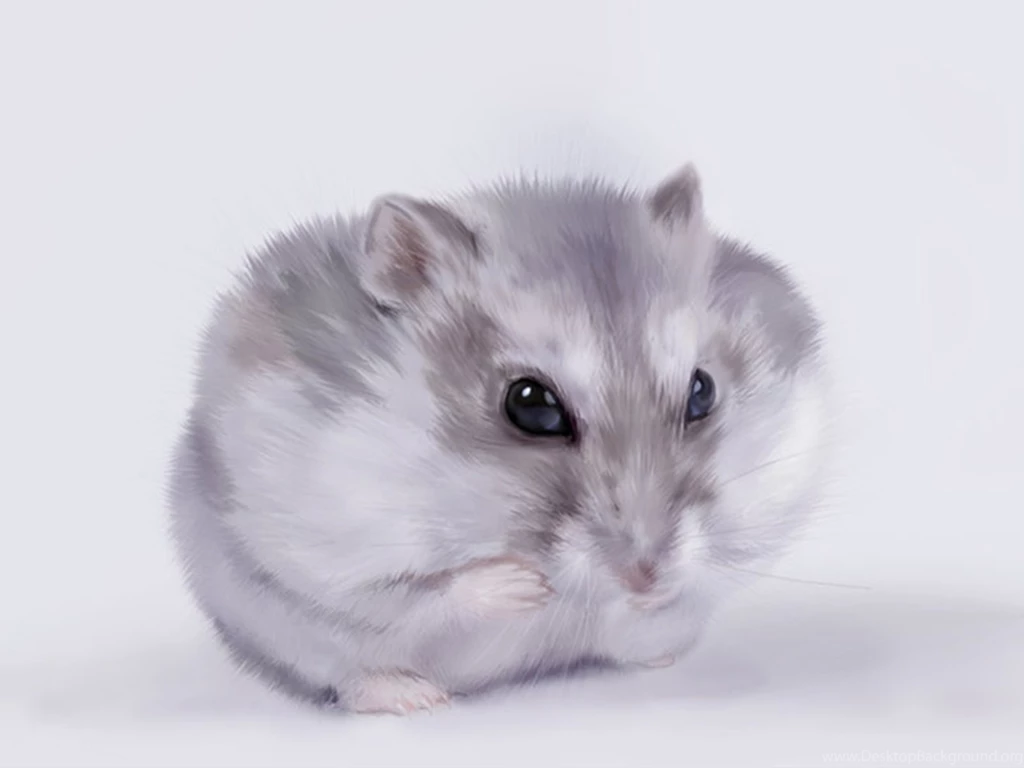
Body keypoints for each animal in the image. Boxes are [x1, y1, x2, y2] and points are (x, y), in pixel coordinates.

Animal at [167, 163, 831, 714]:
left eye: (702, 392)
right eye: (530, 405)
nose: (646, 576)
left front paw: (646, 605)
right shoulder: (324, 550)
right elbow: (418, 593)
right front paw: (522, 585)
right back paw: (412, 698)